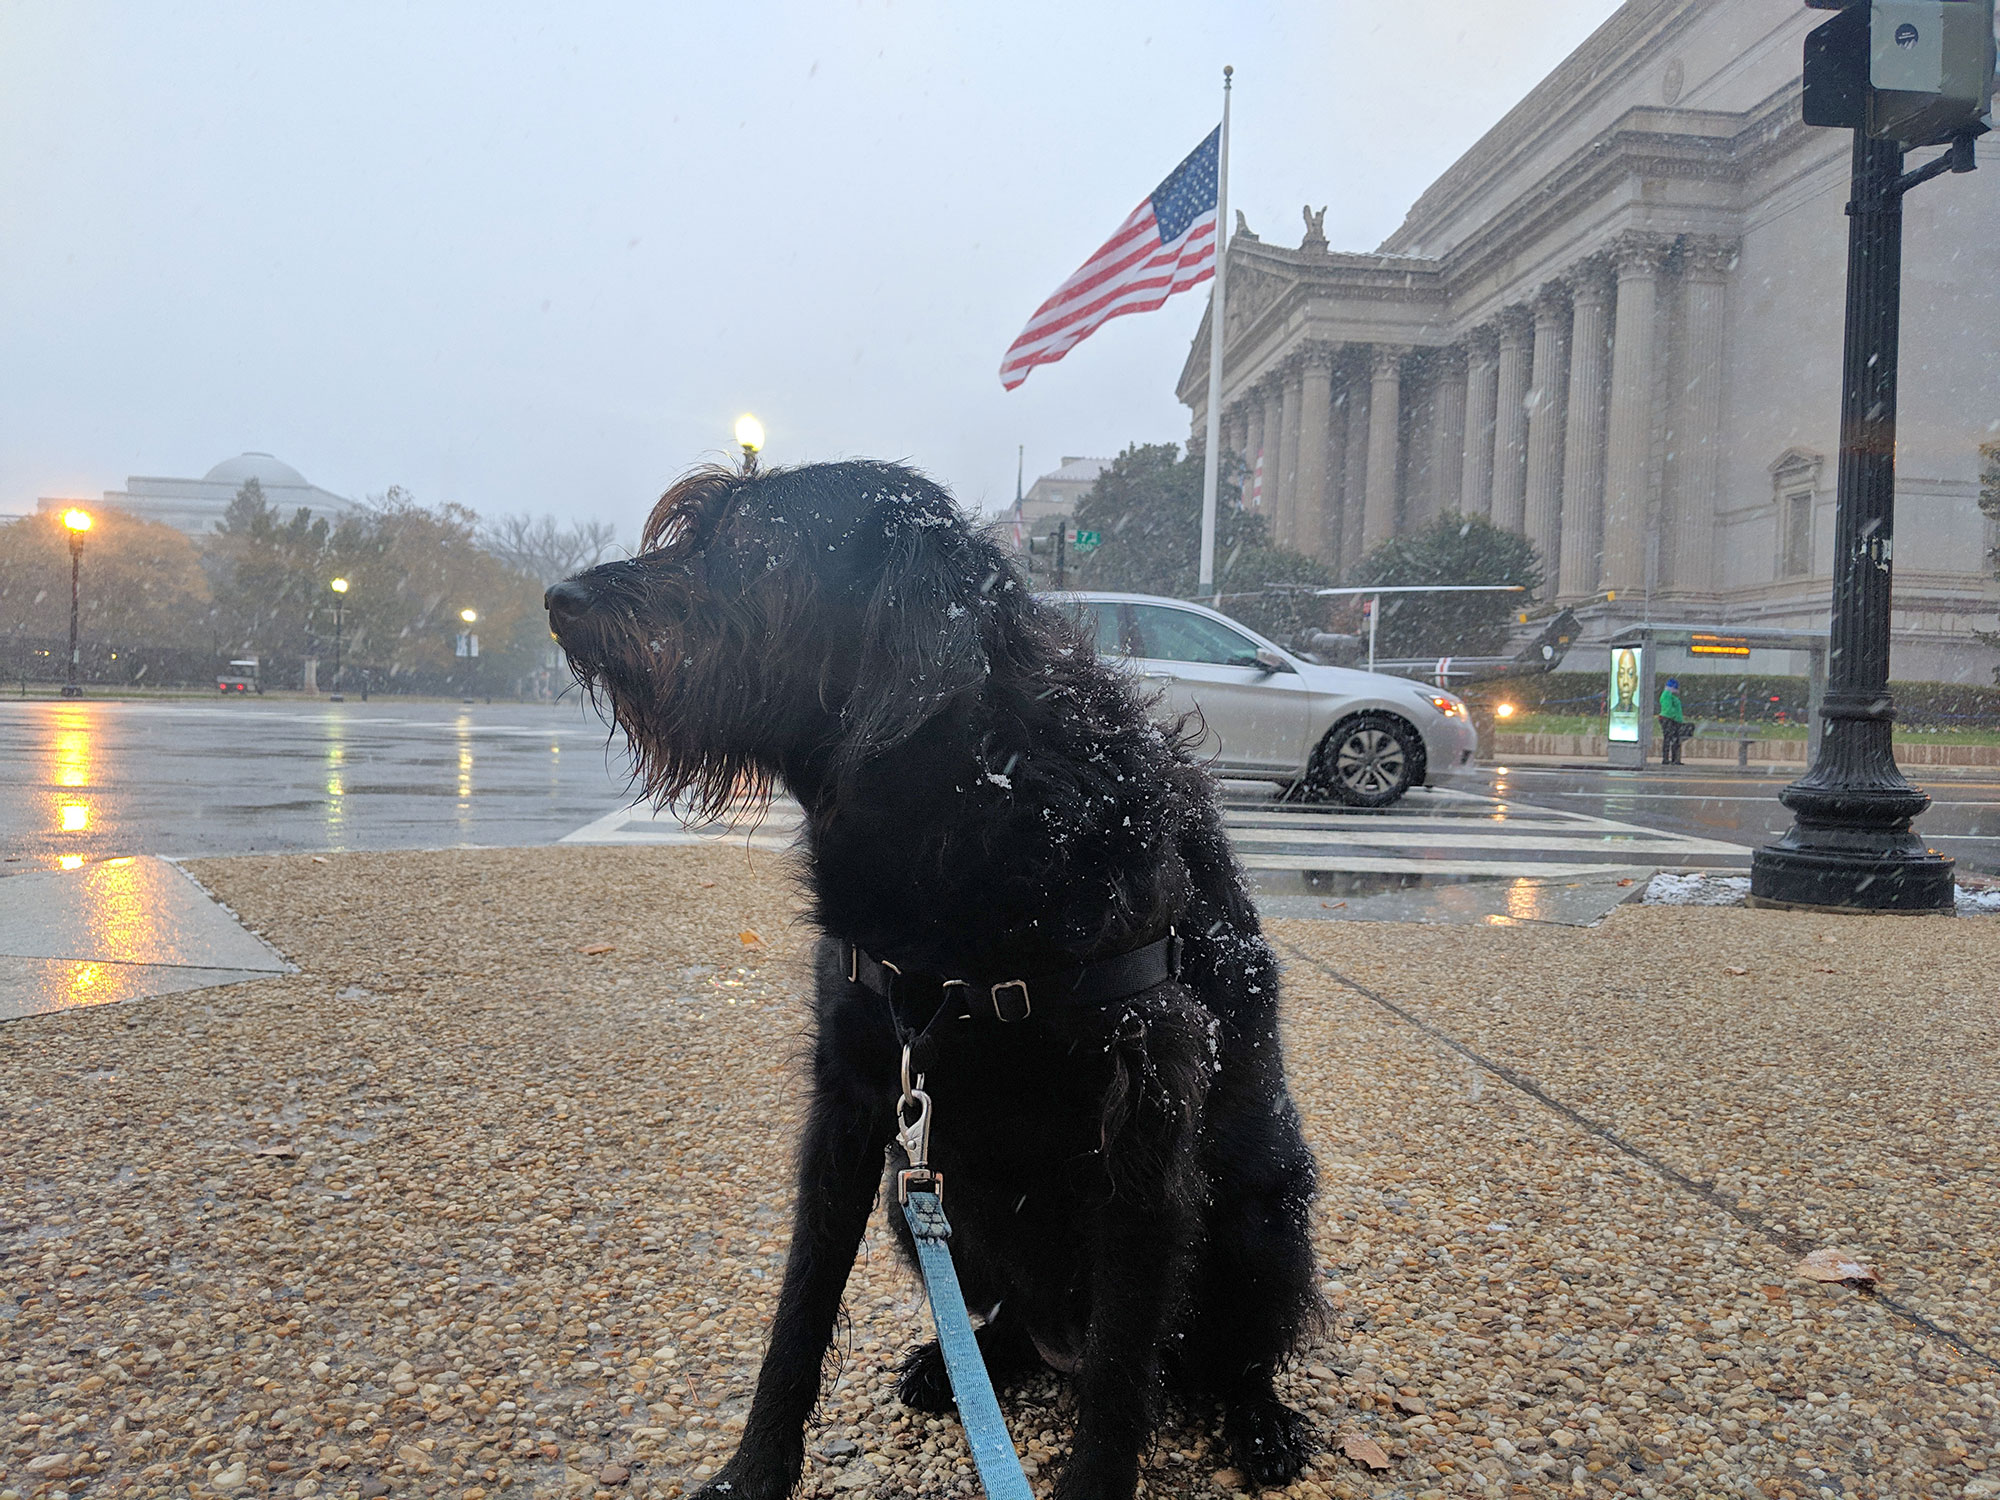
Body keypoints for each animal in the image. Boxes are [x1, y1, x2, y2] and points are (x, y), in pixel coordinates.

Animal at [548, 462, 1320, 1500]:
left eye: (751, 547)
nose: (560, 600)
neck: (959, 819)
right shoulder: (852, 1110)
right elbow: (797, 1316)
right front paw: (753, 1470)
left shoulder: (1146, 1136)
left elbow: (1122, 1379)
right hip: (910, 1199)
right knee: (1008, 1330)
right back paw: (960, 1363)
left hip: (1261, 1226)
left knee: (1222, 1354)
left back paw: (1261, 1420)